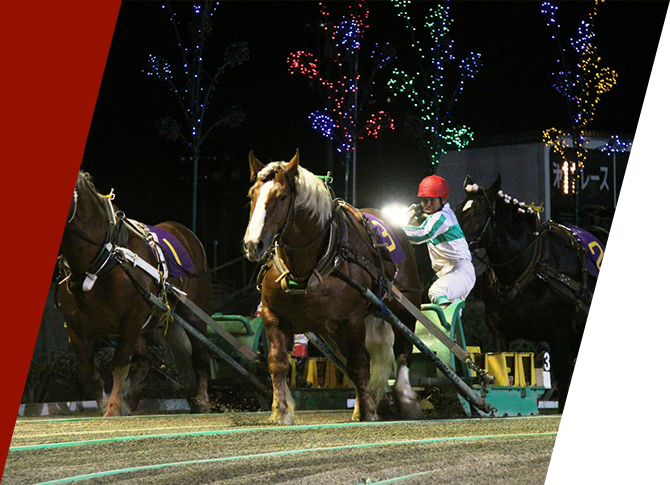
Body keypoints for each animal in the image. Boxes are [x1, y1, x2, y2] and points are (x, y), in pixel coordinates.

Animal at [56, 171, 211, 416]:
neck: (102, 261)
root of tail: (185, 233)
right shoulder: (76, 327)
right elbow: (90, 373)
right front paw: (108, 404)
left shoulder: (133, 316)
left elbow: (120, 363)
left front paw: (113, 408)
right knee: (145, 360)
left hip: (195, 312)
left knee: (201, 354)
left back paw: (202, 399)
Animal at [244, 150, 426, 424]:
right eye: (251, 194)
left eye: (282, 196)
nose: (253, 244)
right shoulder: (272, 316)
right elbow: (278, 363)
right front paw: (281, 412)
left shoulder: (352, 319)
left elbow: (359, 365)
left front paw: (369, 412)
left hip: (404, 303)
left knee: (403, 347)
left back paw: (404, 398)